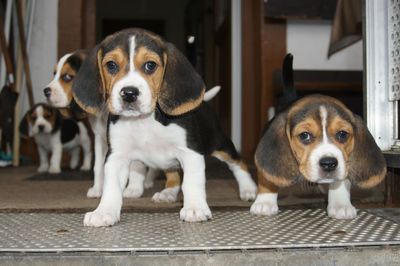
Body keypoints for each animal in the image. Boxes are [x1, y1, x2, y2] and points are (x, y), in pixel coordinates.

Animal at [71, 27, 256, 227]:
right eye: (111, 65)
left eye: (150, 65)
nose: (129, 93)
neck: (143, 120)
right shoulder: (117, 156)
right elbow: (111, 187)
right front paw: (104, 211)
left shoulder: (190, 152)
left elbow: (192, 183)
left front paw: (195, 208)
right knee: (174, 175)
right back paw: (168, 193)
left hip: (220, 144)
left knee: (238, 163)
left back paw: (248, 189)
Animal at [252, 53, 386, 218]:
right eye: (305, 135)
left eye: (342, 134)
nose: (329, 163)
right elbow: (267, 177)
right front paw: (264, 202)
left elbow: (340, 181)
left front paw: (341, 204)